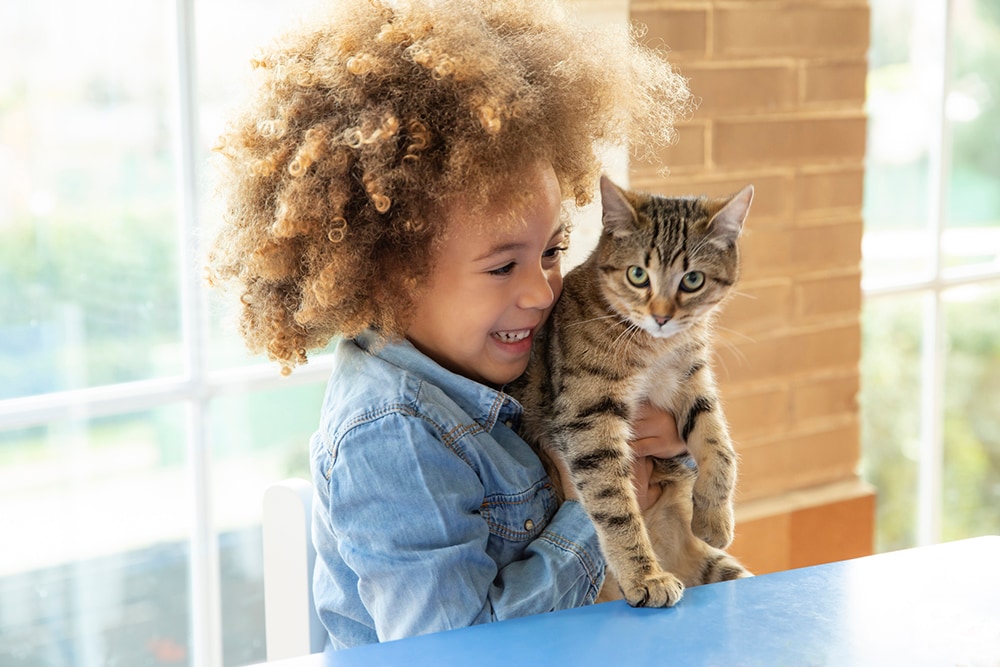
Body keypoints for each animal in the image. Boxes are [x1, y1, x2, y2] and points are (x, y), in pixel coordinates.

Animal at [512, 175, 752, 608]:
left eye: (693, 280)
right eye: (638, 275)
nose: (662, 316)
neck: (656, 349)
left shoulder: (693, 381)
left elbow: (719, 445)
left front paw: (714, 518)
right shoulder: (588, 416)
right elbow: (615, 506)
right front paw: (645, 576)